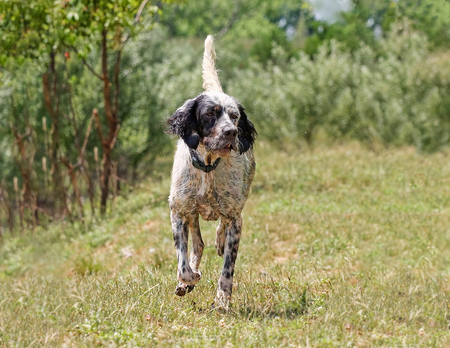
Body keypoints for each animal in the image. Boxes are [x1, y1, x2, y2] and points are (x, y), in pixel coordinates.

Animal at [167, 35, 256, 308]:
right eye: (210, 114)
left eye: (235, 116)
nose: (231, 132)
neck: (208, 168)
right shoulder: (178, 211)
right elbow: (183, 262)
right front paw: (189, 278)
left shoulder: (236, 218)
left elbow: (228, 266)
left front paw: (223, 298)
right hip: (191, 213)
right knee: (197, 245)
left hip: (236, 204)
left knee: (220, 228)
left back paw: (218, 241)